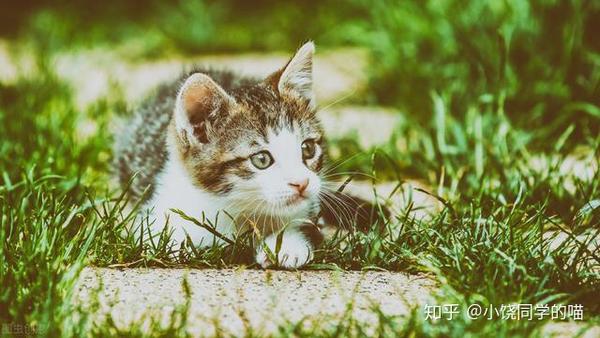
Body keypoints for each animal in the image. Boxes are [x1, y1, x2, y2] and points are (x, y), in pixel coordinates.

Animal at [113, 42, 384, 268]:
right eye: (261, 159)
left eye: (307, 148)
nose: (302, 183)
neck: (239, 211)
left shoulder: (311, 210)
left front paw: (285, 245)